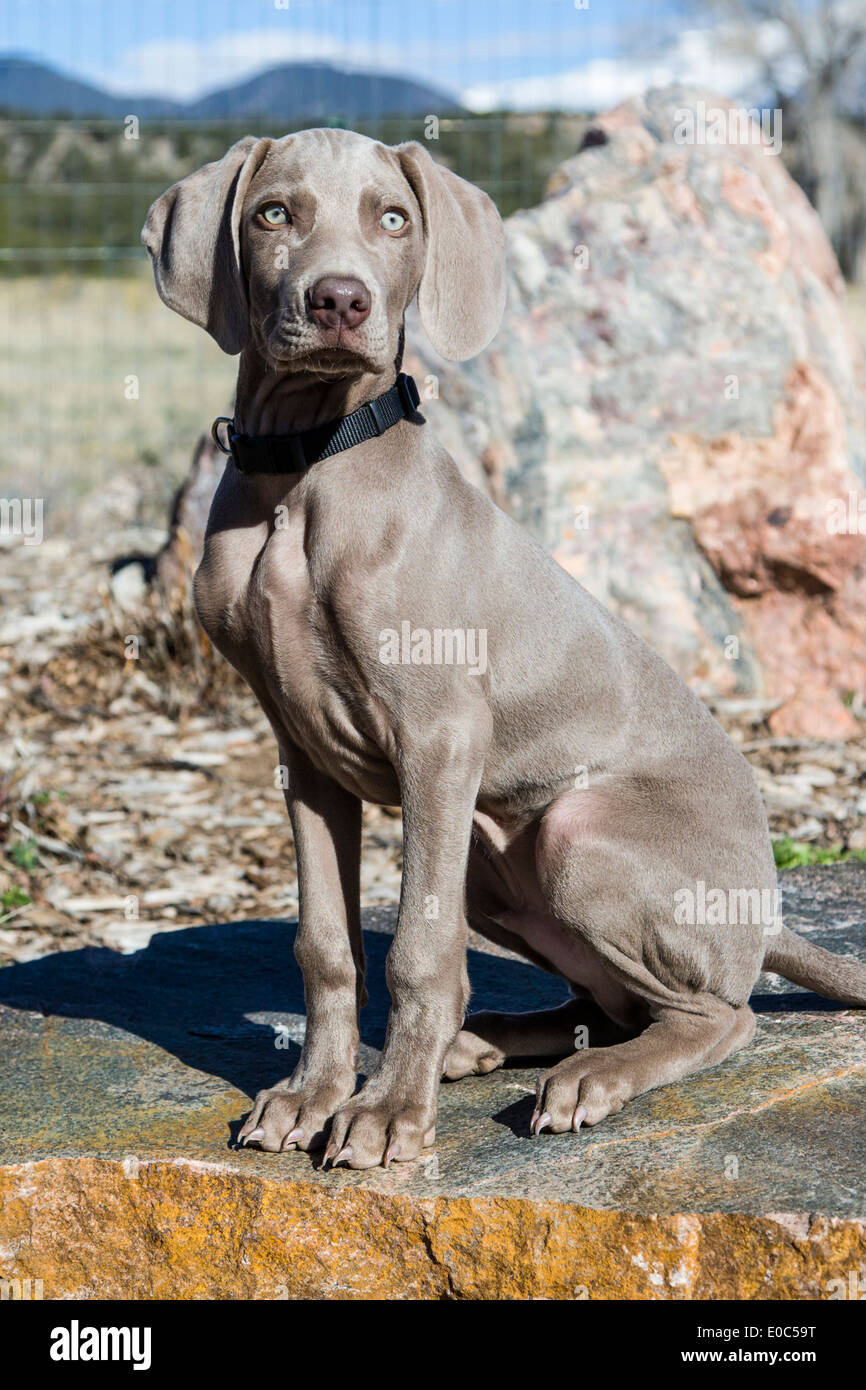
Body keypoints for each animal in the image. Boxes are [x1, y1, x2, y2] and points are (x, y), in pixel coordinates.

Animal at [142, 132, 866, 1173]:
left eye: (393, 219)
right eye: (274, 213)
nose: (340, 301)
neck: (310, 465)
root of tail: (766, 913)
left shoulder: (440, 735)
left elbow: (417, 950)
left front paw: (386, 1115)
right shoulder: (302, 753)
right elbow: (326, 944)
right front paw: (312, 1095)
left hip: (572, 834)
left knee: (716, 1016)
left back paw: (581, 1080)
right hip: (493, 862)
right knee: (605, 1004)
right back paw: (479, 1048)